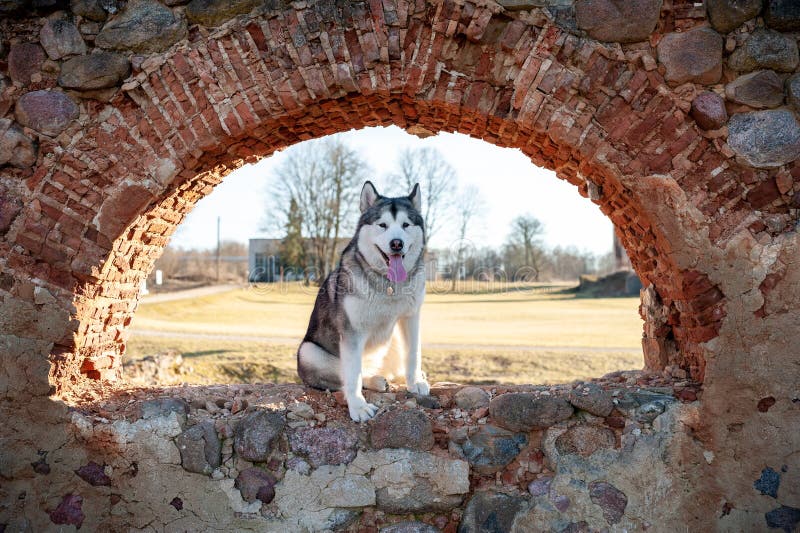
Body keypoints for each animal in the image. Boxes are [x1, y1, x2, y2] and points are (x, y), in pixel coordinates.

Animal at [296, 181, 428, 422]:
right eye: (382, 225)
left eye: (406, 225)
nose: (397, 243)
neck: (388, 284)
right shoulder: (352, 331)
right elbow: (352, 375)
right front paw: (358, 407)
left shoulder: (410, 317)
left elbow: (413, 353)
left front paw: (415, 381)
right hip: (308, 352)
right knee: (345, 374)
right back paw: (373, 380)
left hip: (392, 337)